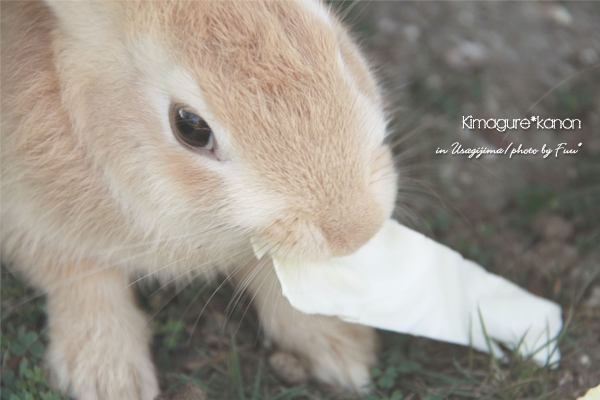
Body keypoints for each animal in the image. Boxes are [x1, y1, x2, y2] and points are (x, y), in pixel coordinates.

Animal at [2, 1, 400, 398]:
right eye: (191, 127)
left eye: (337, 49)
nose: (356, 231)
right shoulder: (25, 212)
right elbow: (76, 274)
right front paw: (109, 377)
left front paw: (339, 345)